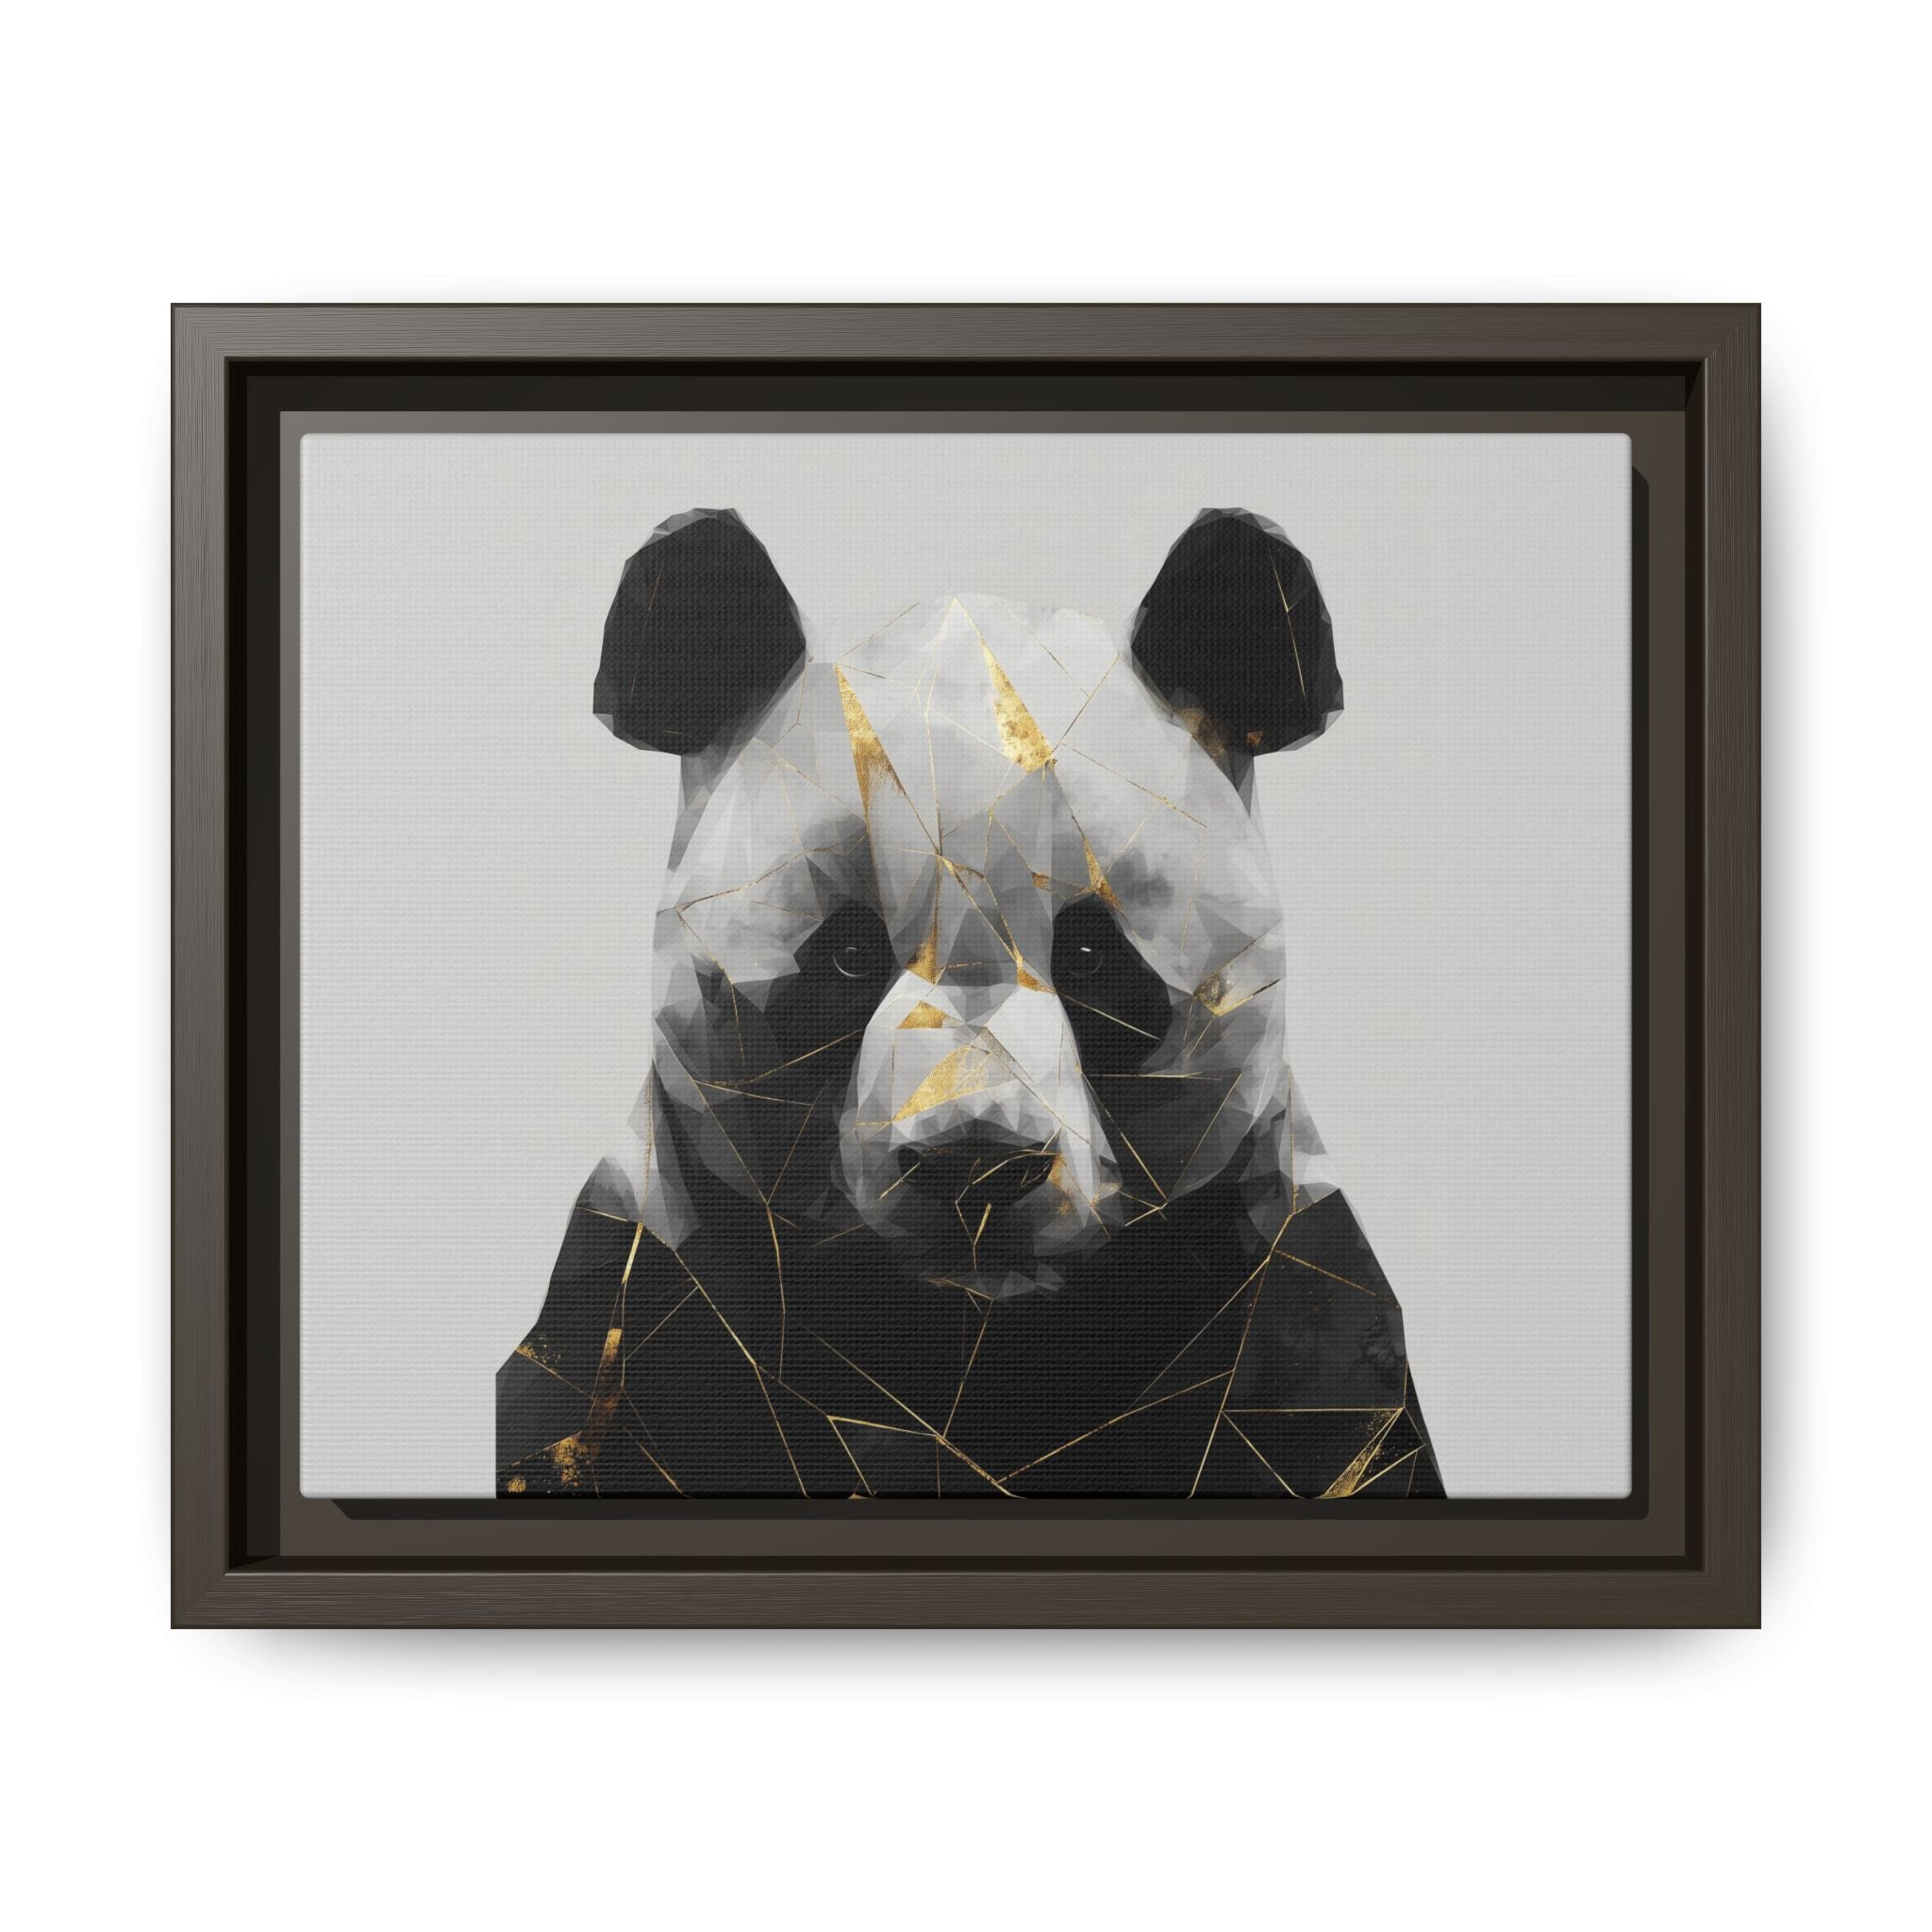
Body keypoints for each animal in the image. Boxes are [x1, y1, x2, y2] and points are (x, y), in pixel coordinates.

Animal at [498, 506, 1444, 1499]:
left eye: (1090, 956)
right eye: (847, 955)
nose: (976, 1164)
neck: (966, 1350)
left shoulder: (1288, 1319)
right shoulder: (647, 1312)